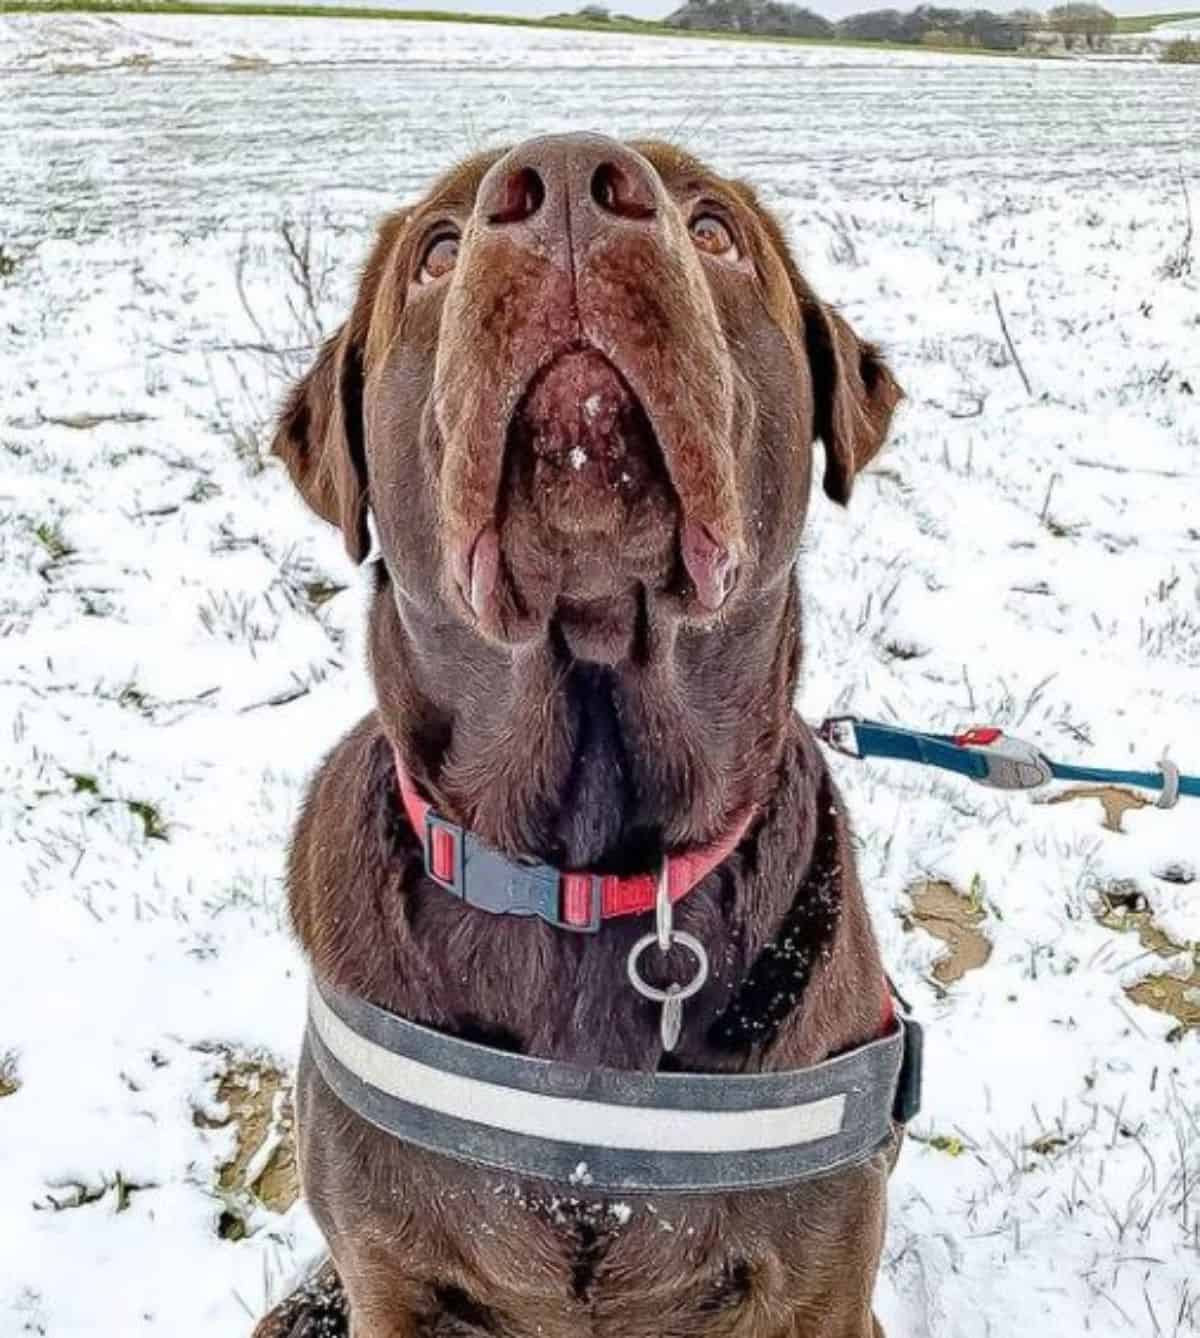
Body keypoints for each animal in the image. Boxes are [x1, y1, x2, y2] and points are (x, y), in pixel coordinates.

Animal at [256, 133, 904, 1338]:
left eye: (715, 230)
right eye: (438, 250)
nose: (562, 181)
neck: (585, 870)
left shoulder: (820, 1284)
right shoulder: (383, 1274)